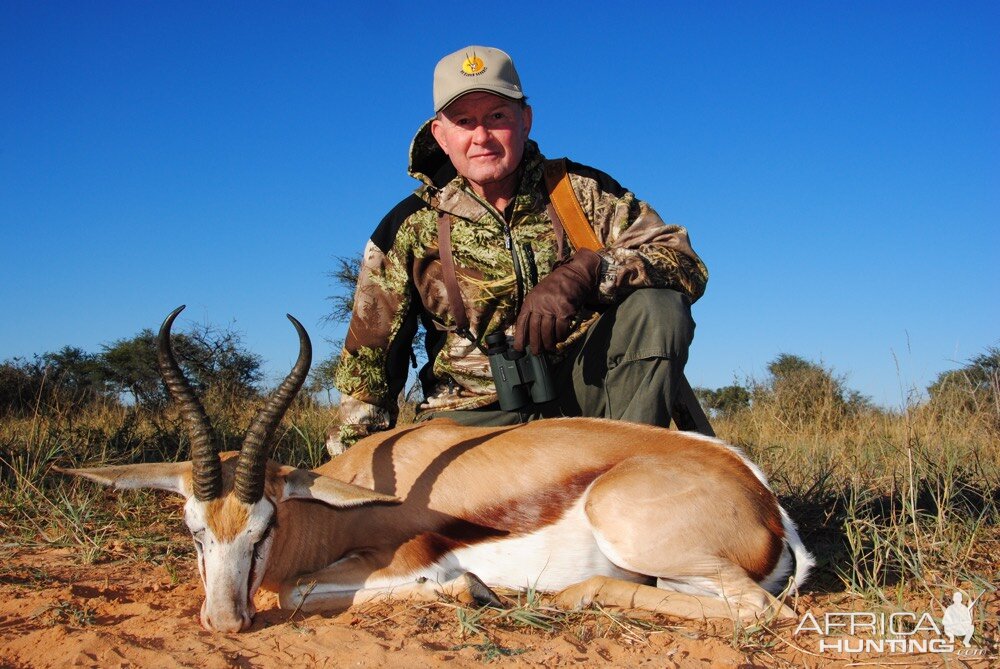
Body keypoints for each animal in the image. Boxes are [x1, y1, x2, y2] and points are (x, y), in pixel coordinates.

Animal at [56, 308, 812, 632]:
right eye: (193, 531)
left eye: (263, 527)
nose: (222, 622)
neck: (337, 509)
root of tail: (763, 499)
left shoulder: (400, 560)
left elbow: (298, 593)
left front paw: (467, 590)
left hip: (637, 533)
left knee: (757, 611)